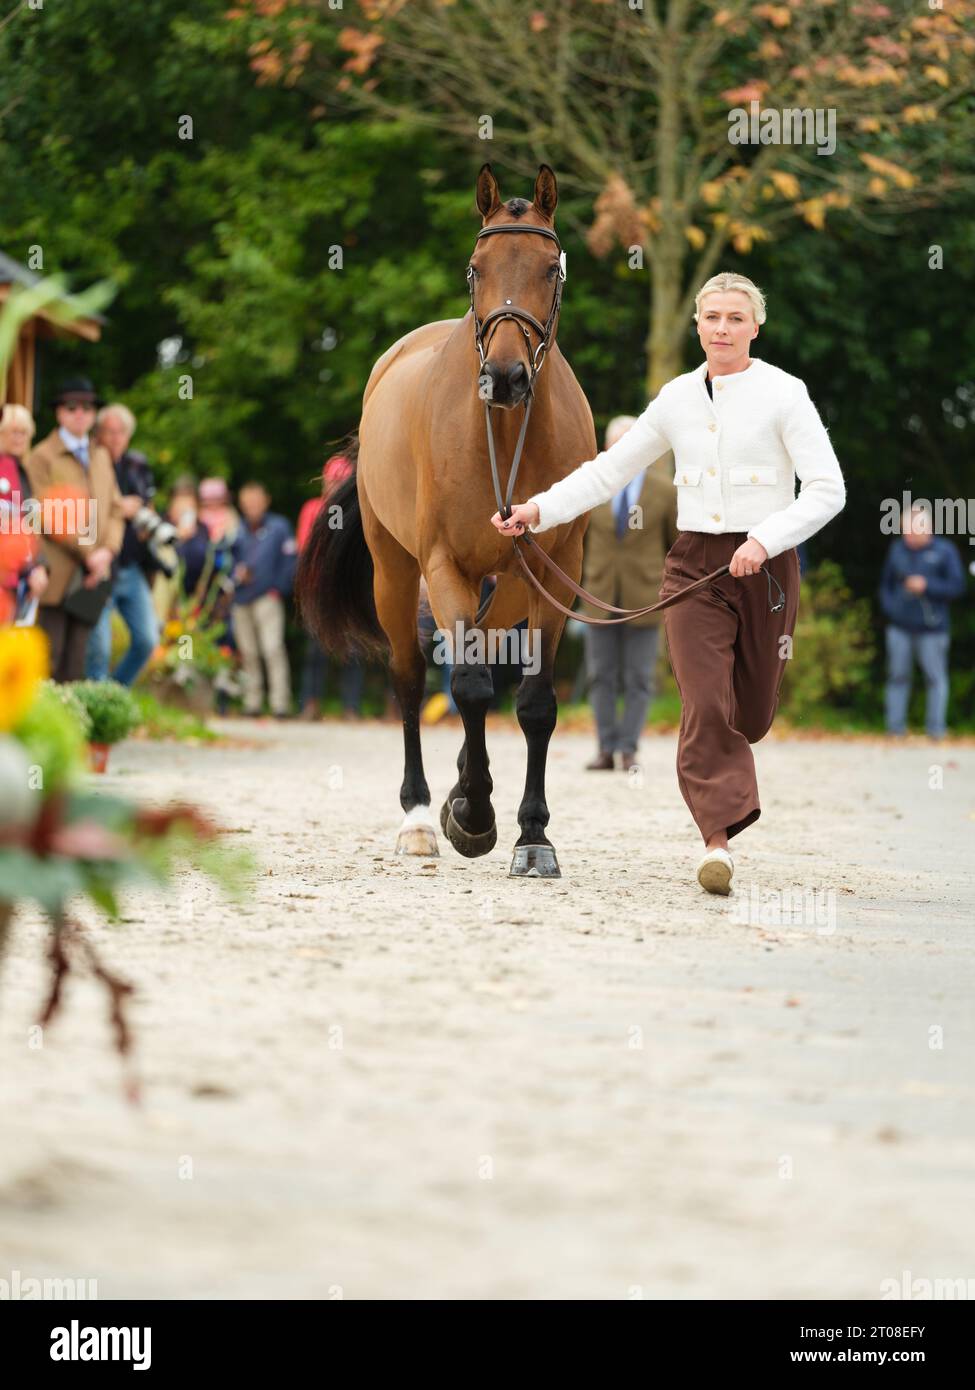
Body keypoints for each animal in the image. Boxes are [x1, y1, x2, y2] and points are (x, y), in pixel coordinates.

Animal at [299, 162, 592, 872]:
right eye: (474, 269)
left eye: (550, 268)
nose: (507, 377)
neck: (506, 436)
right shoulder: (444, 565)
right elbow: (470, 687)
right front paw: (476, 815)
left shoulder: (554, 573)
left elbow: (535, 704)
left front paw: (533, 834)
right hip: (396, 573)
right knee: (412, 679)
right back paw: (419, 816)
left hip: (507, 583)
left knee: (480, 649)